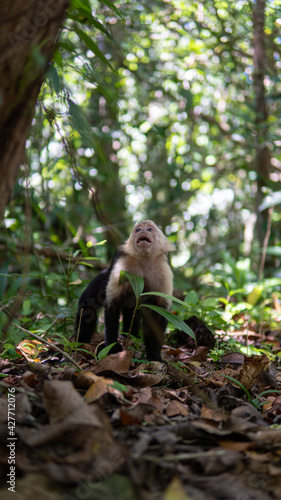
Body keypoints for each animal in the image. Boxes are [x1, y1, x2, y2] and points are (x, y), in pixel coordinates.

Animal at [75, 221, 174, 362]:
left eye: (150, 229)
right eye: (138, 229)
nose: (143, 231)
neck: (144, 259)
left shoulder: (164, 273)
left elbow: (159, 312)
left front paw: (154, 355)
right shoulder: (121, 267)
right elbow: (112, 305)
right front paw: (112, 348)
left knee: (133, 313)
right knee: (88, 305)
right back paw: (80, 343)